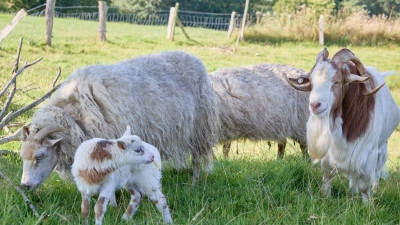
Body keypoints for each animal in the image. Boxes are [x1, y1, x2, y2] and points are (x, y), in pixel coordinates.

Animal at [19, 50, 219, 189]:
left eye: (40, 156)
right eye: (22, 157)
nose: (25, 186)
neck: (77, 116)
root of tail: (194, 57)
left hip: (199, 128)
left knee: (196, 159)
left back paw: (194, 183)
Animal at [284, 47, 400, 200]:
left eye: (337, 82)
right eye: (312, 82)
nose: (315, 105)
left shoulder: (367, 151)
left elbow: (365, 184)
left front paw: (368, 203)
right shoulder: (331, 150)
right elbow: (328, 173)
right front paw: (325, 196)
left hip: (382, 147)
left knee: (376, 172)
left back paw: (373, 191)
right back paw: (352, 192)